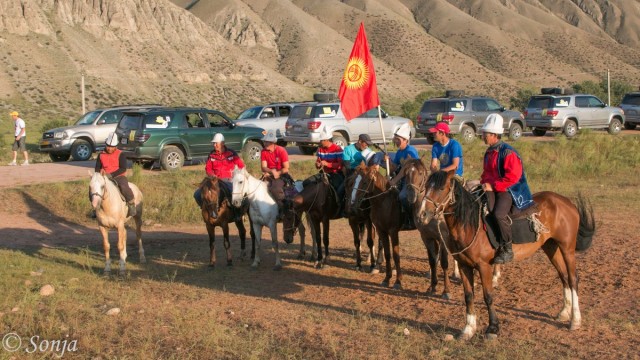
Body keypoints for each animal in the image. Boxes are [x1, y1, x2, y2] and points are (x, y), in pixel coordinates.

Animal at [420, 170, 596, 338]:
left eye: (441, 188)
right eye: (426, 186)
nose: (422, 214)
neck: (469, 225)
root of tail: (566, 202)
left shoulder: (484, 266)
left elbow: (488, 296)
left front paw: (492, 328)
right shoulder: (464, 266)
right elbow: (469, 296)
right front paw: (468, 329)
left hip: (567, 248)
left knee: (573, 278)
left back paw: (575, 320)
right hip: (550, 246)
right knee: (563, 276)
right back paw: (564, 312)